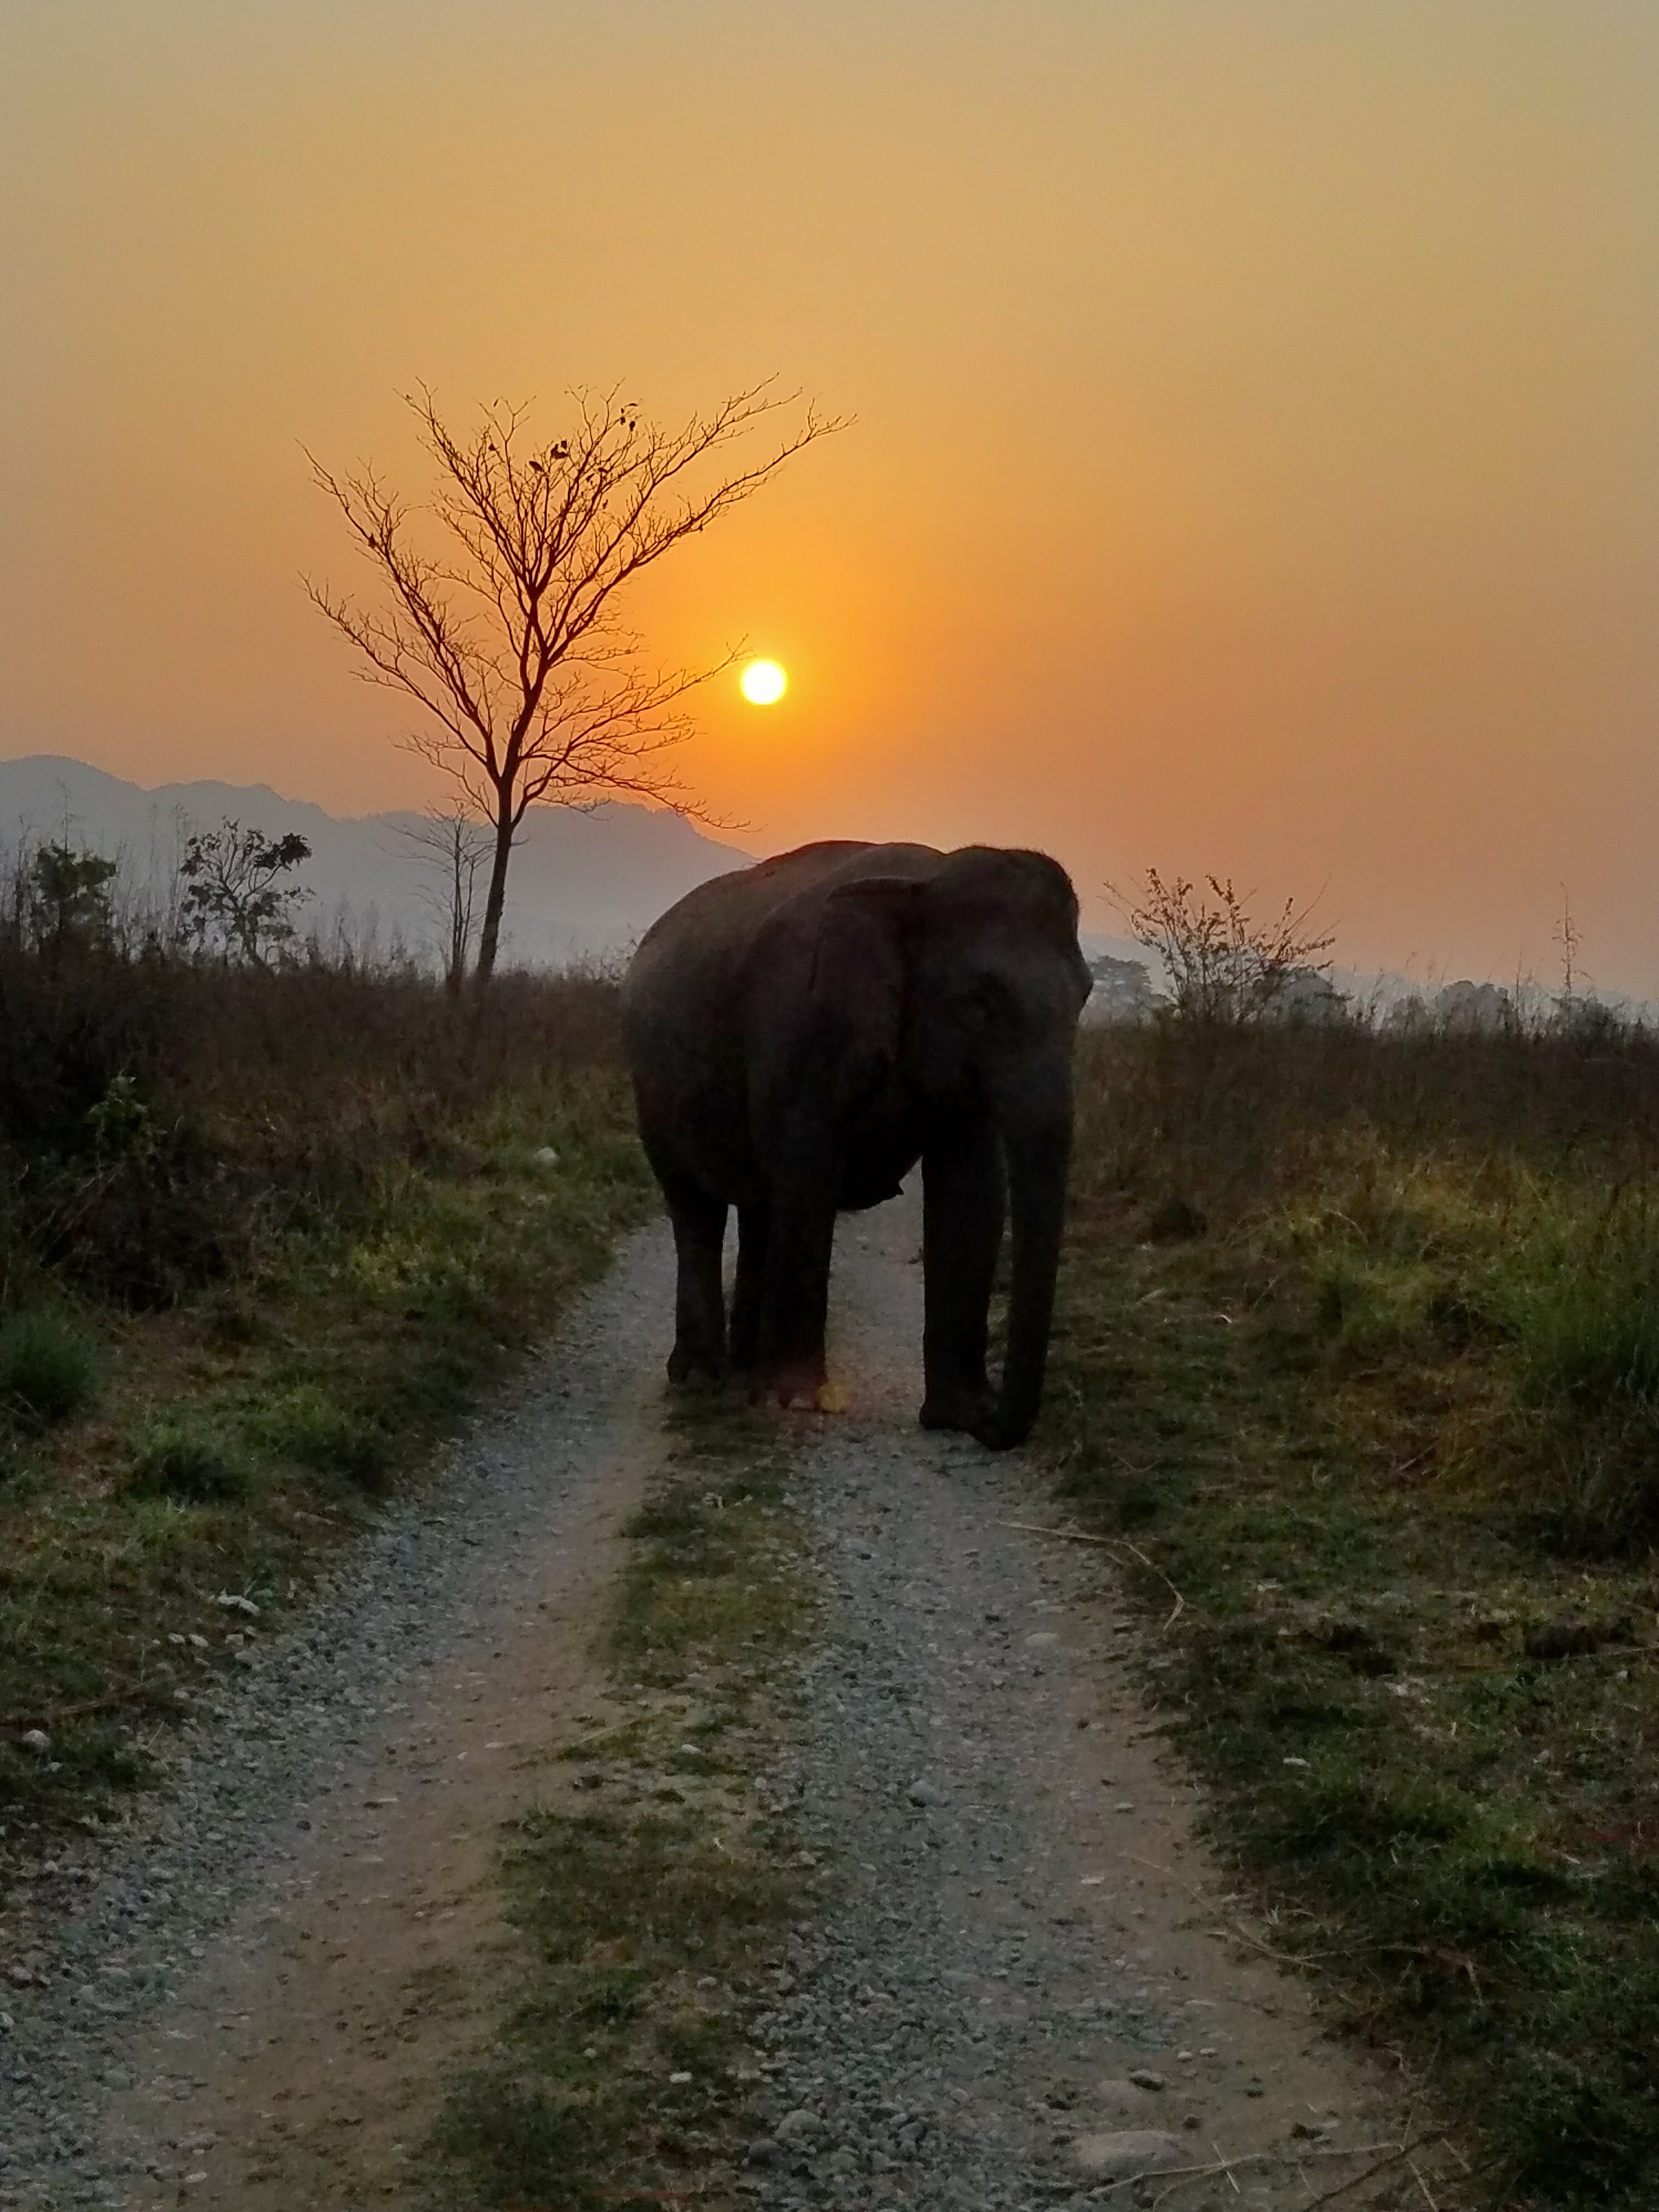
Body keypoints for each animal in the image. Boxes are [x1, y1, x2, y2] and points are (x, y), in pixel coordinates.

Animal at [620, 839, 1092, 1450]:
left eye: (1085, 998)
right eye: (979, 1003)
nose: (995, 1423)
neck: (924, 879)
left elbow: (972, 1193)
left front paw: (957, 1414)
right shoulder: (799, 1029)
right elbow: (808, 1176)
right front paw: (799, 1402)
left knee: (759, 1206)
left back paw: (748, 1367)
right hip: (650, 1087)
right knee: (695, 1208)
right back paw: (703, 1377)